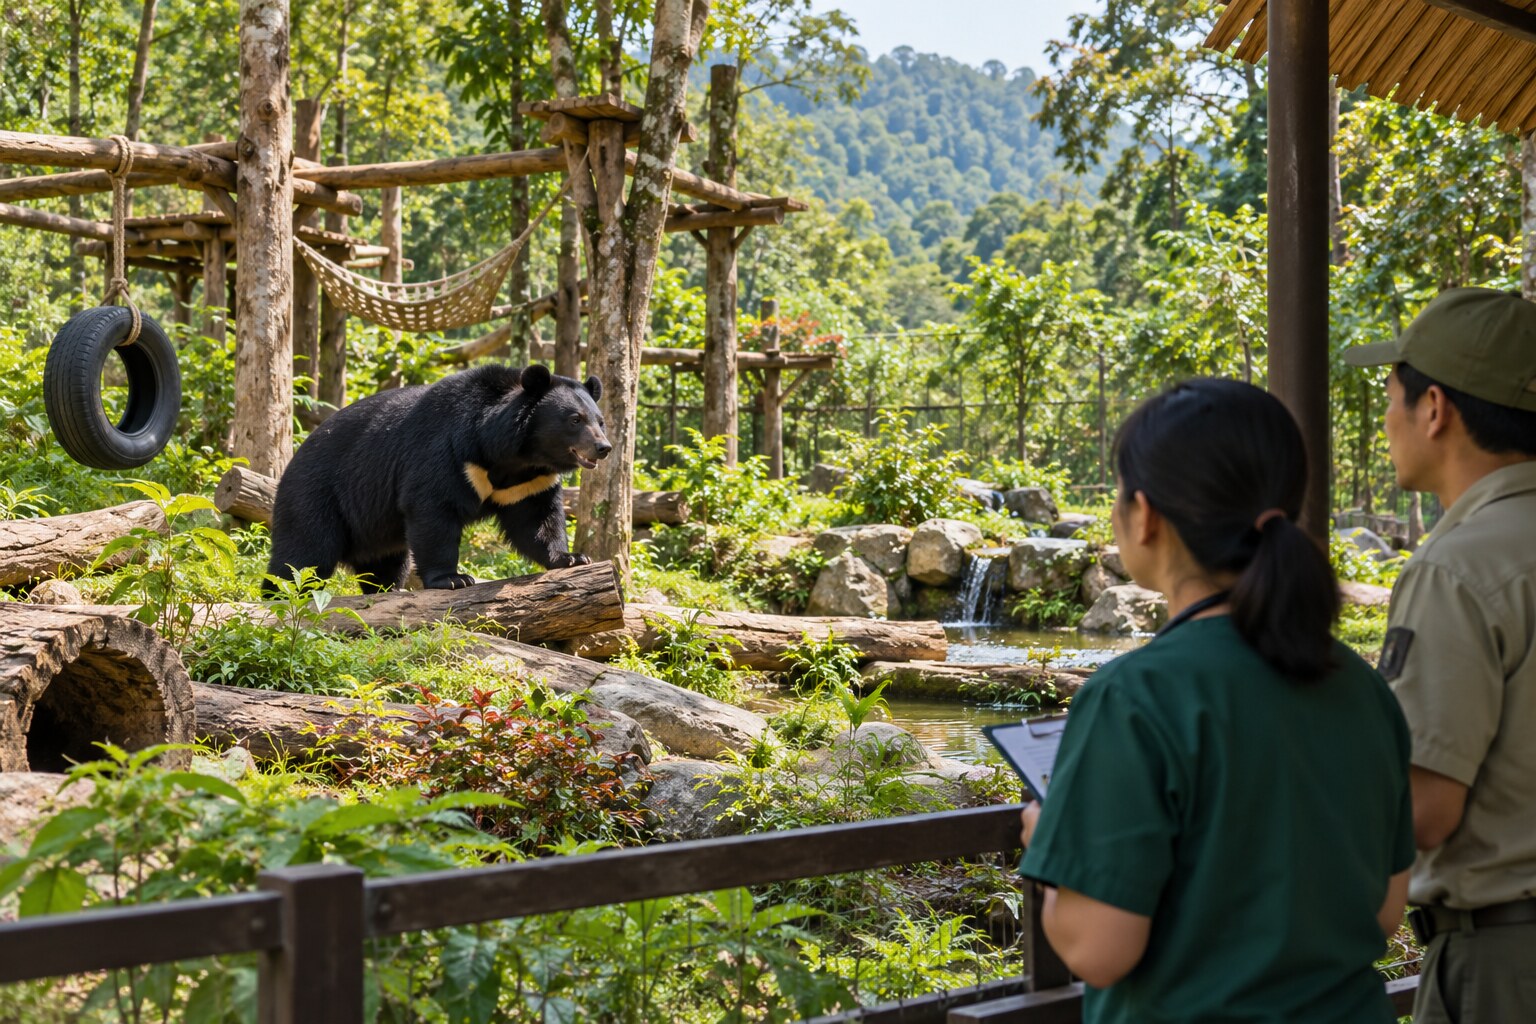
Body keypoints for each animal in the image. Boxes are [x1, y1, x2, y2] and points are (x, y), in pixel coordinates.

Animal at [265, 362, 611, 593]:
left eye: (601, 421)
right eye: (575, 419)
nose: (603, 448)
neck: (517, 456)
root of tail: (292, 460)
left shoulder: (527, 483)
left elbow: (537, 520)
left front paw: (572, 557)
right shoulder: (449, 454)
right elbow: (433, 510)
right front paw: (453, 578)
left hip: (372, 529)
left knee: (385, 564)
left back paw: (388, 590)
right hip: (316, 495)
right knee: (304, 555)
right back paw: (280, 594)